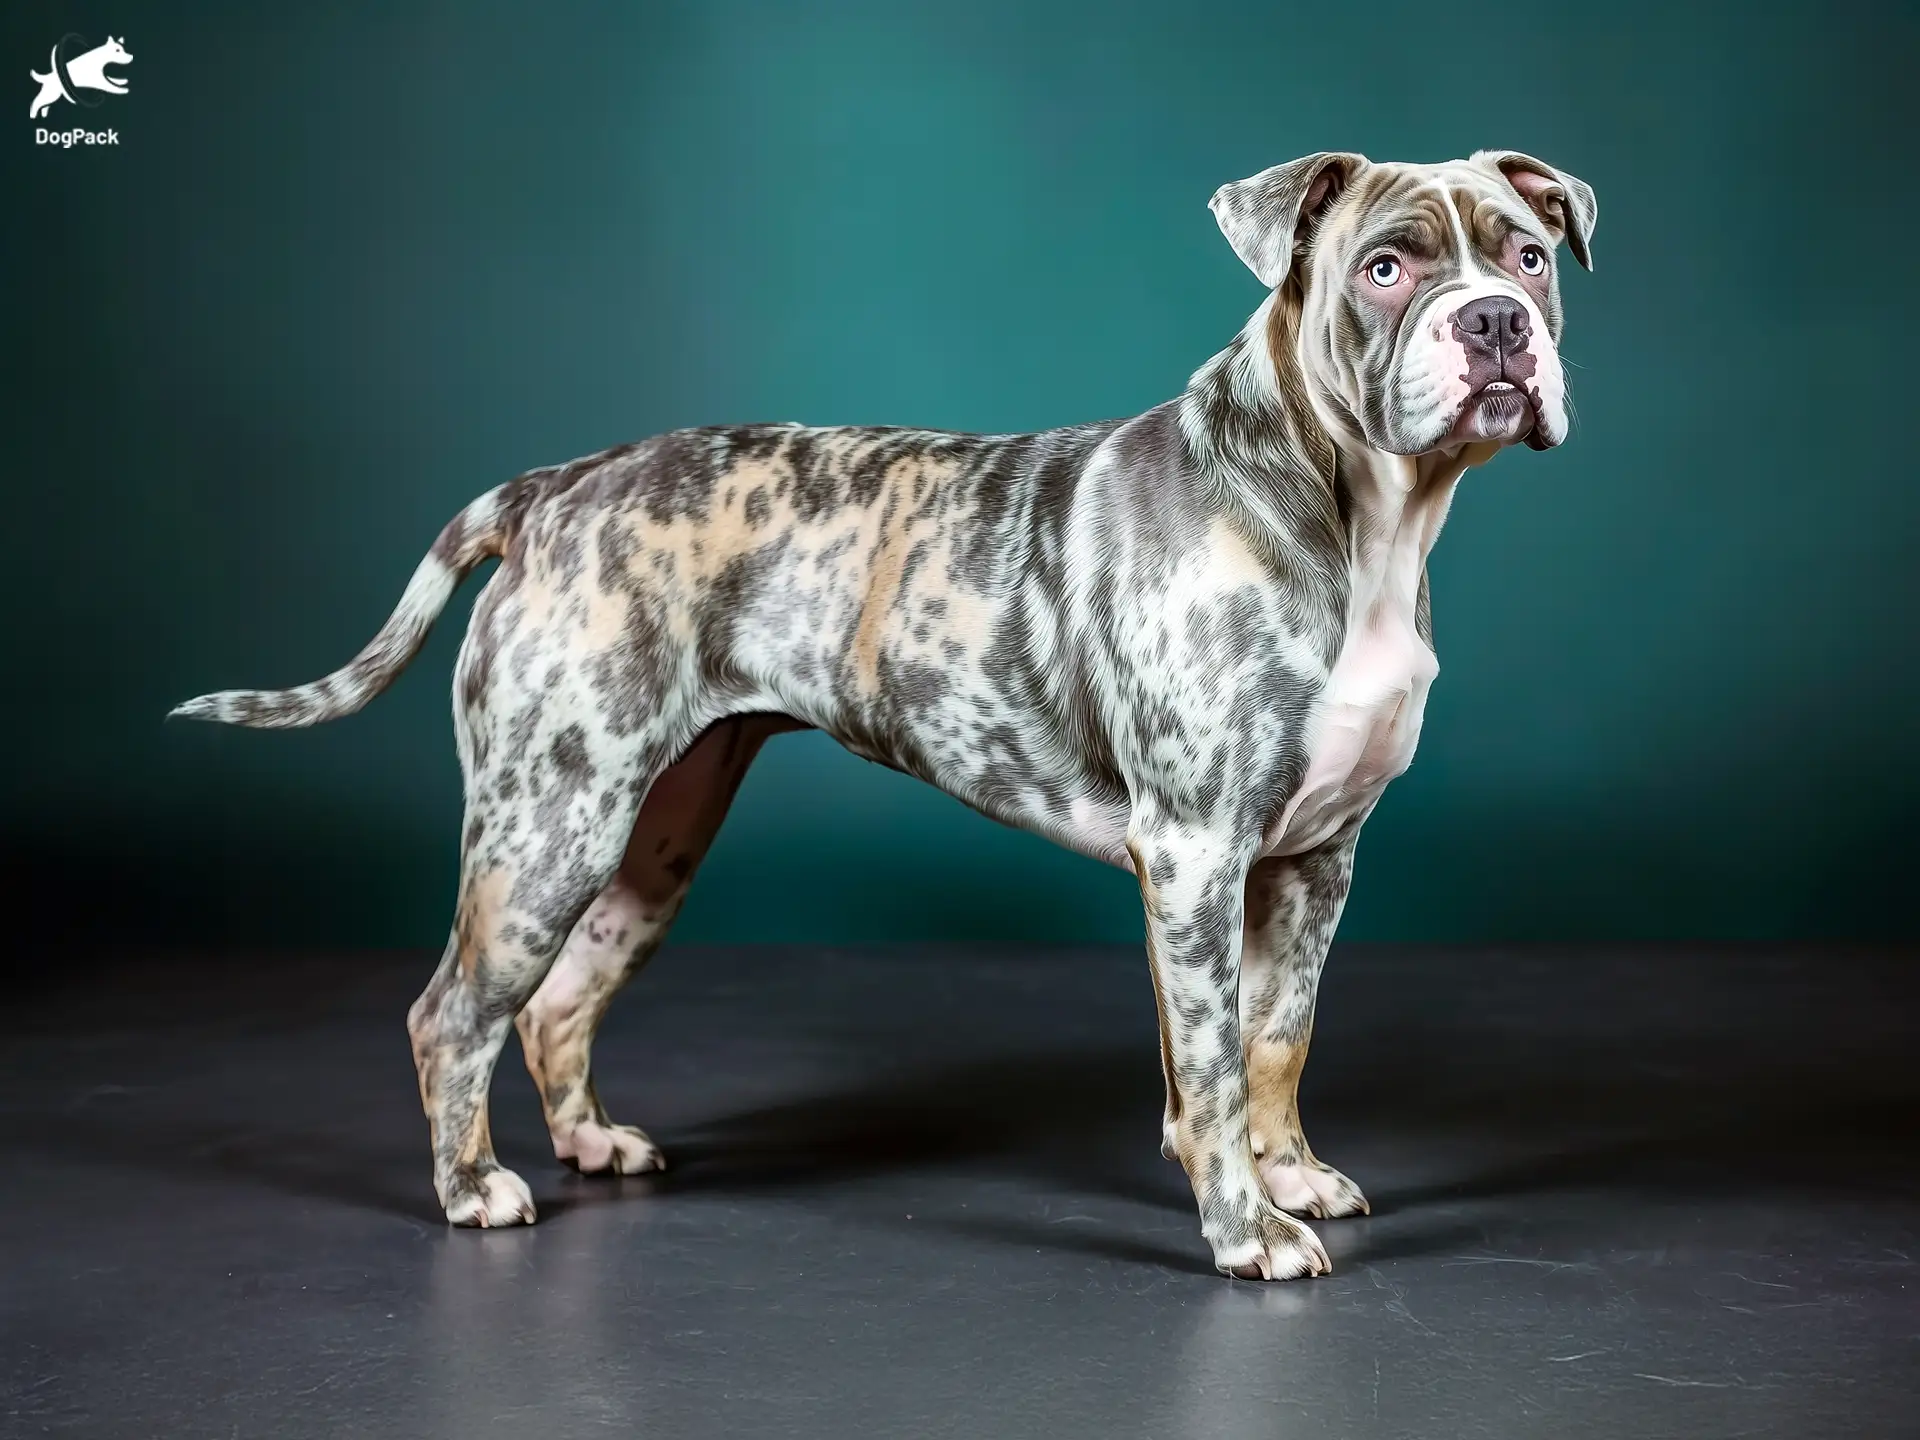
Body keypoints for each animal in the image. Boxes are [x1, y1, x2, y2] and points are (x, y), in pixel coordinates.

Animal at [176, 152, 1589, 1282]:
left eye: (1528, 253)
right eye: (1388, 268)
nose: (1499, 321)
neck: (1354, 516)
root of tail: (553, 489)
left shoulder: (1314, 860)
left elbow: (1277, 1038)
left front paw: (1291, 1176)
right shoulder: (1194, 853)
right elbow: (1211, 1059)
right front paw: (1247, 1229)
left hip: (649, 839)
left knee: (555, 1004)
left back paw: (592, 1142)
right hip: (549, 830)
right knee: (454, 1014)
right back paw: (473, 1188)